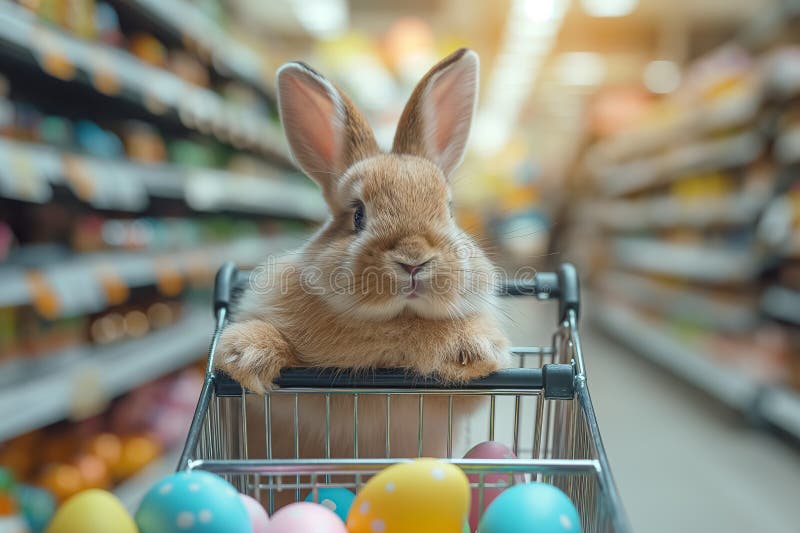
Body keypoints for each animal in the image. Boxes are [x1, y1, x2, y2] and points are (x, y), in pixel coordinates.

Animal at [215, 48, 511, 470]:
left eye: (450, 211)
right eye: (357, 215)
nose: (413, 260)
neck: (393, 323)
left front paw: (474, 350)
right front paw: (246, 356)